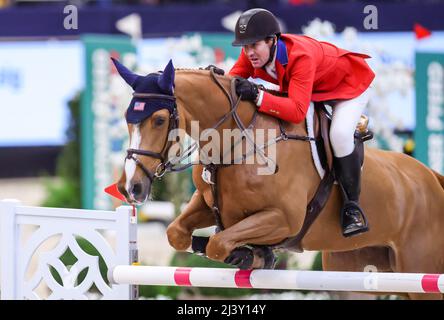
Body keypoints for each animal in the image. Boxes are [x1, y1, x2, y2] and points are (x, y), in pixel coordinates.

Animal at [113, 59, 444, 300]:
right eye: (127, 119)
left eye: (159, 120)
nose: (131, 187)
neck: (237, 142)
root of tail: (432, 177)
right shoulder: (209, 206)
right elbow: (177, 234)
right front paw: (249, 252)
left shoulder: (284, 218)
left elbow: (219, 243)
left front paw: (250, 255)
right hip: (357, 270)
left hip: (420, 267)